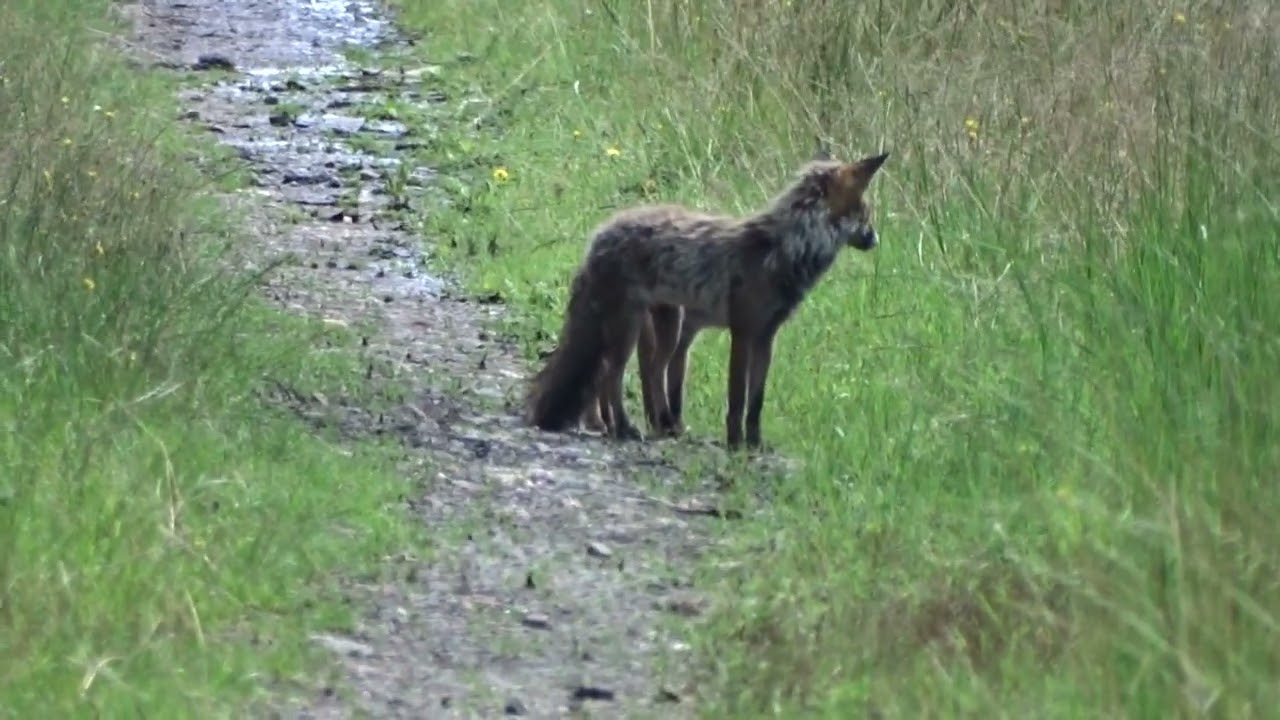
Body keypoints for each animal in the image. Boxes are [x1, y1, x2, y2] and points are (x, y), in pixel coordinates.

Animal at [524, 149, 890, 450]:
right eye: (865, 212)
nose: (876, 240)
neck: (783, 251)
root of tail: (600, 235)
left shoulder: (766, 337)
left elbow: (756, 402)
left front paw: (754, 445)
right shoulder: (742, 332)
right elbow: (737, 399)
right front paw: (735, 443)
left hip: (664, 326)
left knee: (627, 374)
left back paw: (625, 426)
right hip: (630, 327)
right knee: (613, 377)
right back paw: (625, 429)